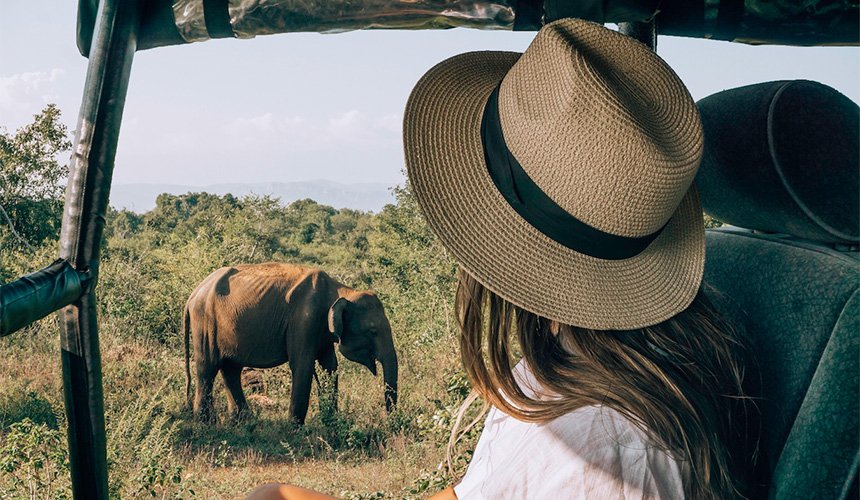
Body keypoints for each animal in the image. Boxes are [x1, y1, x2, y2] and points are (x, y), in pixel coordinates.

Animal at [183, 262, 398, 424]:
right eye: (373, 331)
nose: (390, 421)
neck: (339, 290)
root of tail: (192, 295)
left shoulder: (321, 330)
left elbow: (330, 367)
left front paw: (330, 420)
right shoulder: (303, 320)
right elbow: (303, 365)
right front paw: (295, 429)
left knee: (230, 369)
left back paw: (242, 421)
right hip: (205, 321)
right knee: (208, 368)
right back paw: (205, 423)